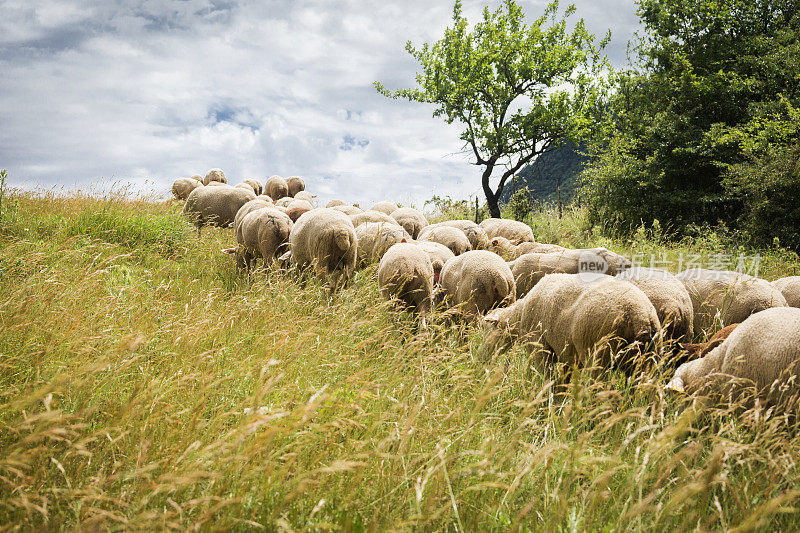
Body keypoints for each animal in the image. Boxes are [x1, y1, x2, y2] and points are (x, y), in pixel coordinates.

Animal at [482, 272, 664, 372]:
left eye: (489, 330)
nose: (482, 356)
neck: (520, 315)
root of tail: (639, 315)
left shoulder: (541, 348)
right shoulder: (567, 355)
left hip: (598, 357)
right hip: (646, 361)